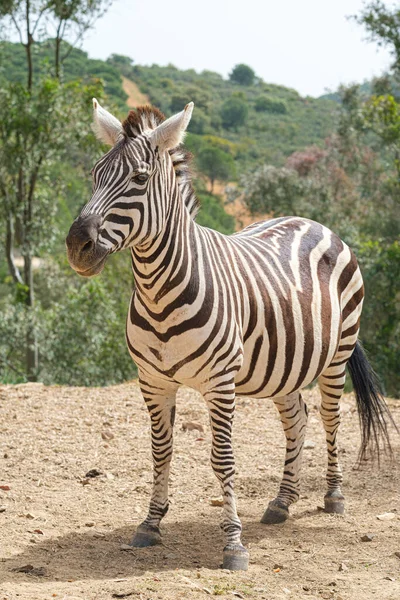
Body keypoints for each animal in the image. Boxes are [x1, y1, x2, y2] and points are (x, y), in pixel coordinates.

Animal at [65, 98, 394, 572]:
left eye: (139, 179)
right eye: (94, 175)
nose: (77, 246)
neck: (158, 291)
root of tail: (313, 221)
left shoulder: (220, 383)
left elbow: (222, 459)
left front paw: (234, 544)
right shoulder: (153, 381)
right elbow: (161, 452)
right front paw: (150, 524)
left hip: (338, 354)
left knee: (330, 417)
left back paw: (333, 496)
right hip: (286, 364)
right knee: (297, 419)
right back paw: (281, 502)